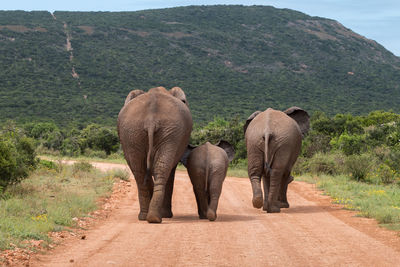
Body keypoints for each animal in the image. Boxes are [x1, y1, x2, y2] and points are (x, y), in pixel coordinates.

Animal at [117, 87, 192, 223]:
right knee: (158, 170)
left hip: (135, 132)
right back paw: (155, 217)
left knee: (141, 172)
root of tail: (151, 120)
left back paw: (149, 217)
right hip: (159, 131)